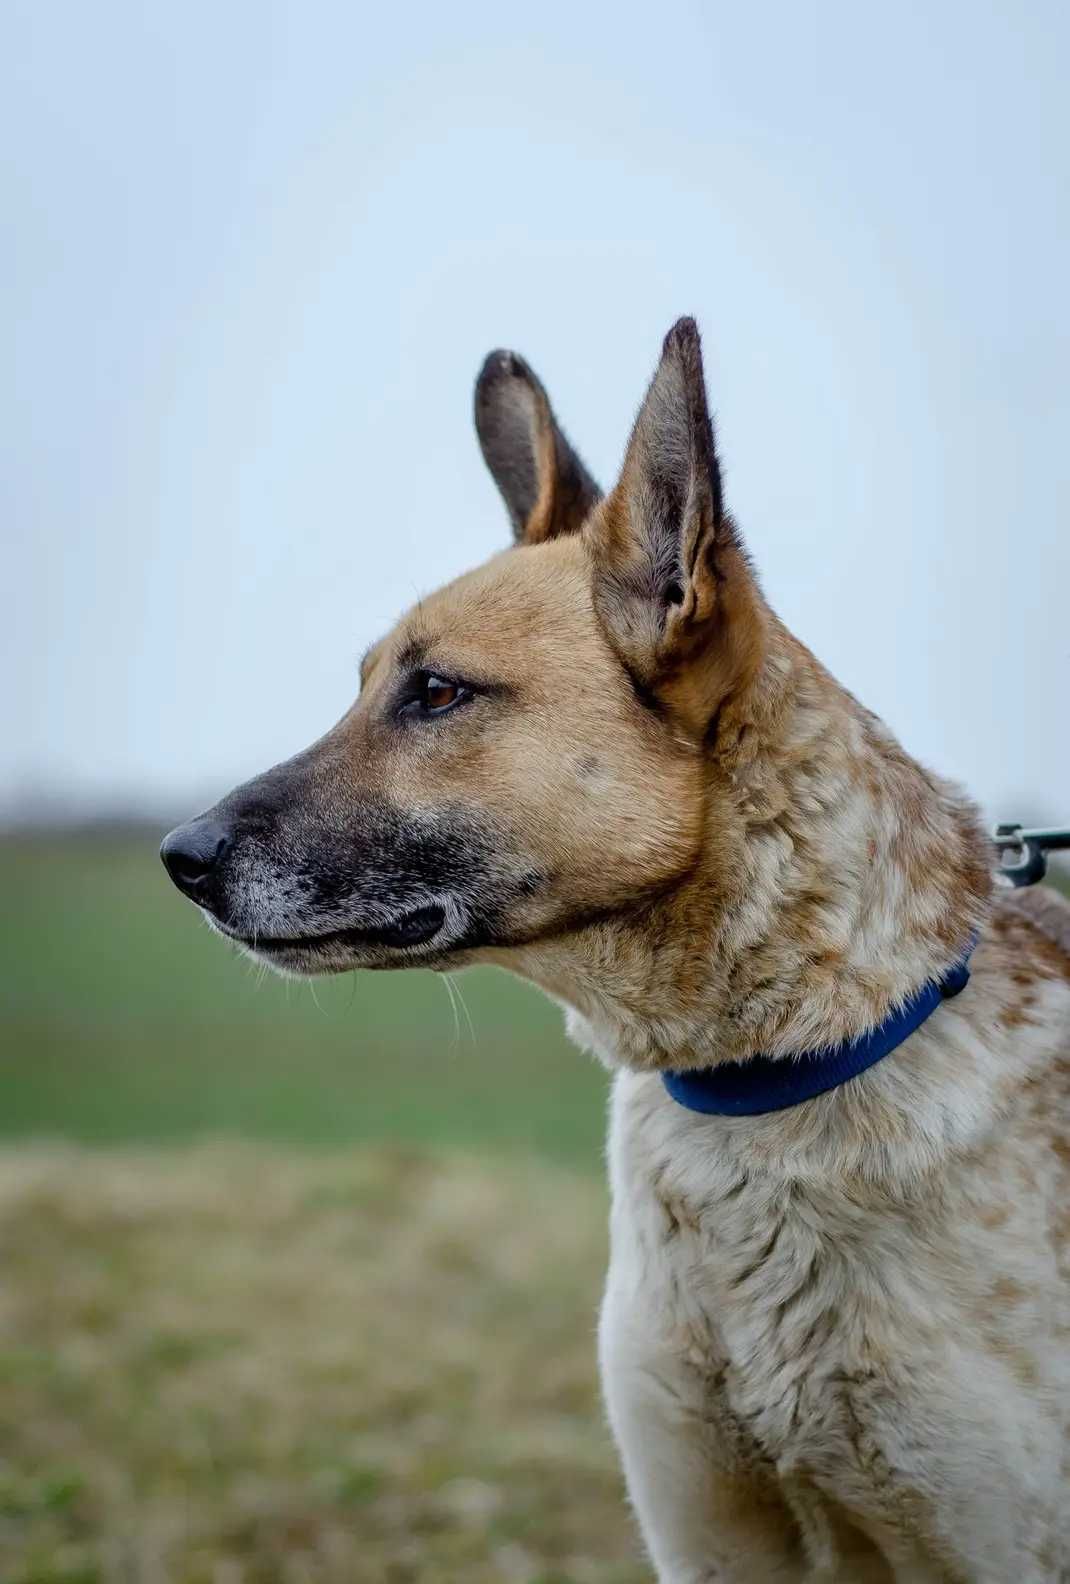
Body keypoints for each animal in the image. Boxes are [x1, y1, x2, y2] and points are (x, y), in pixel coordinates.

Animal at [160, 315, 1070, 1577]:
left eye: (435, 693)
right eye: (366, 685)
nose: (177, 858)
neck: (772, 1077)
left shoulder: (985, 1540)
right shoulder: (707, 1533)